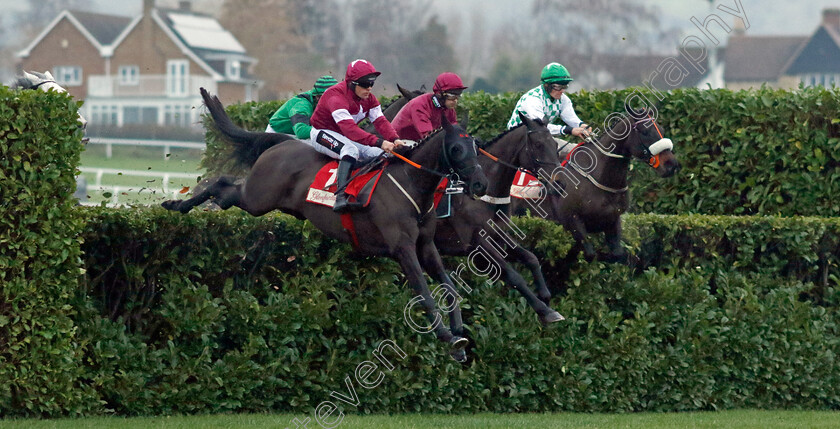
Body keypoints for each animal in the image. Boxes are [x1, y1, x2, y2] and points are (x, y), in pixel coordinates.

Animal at [163, 88, 488, 362]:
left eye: (476, 146)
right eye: (456, 148)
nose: (480, 184)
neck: (412, 183)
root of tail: (285, 142)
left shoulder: (426, 245)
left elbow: (450, 288)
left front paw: (459, 338)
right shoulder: (403, 248)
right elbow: (423, 292)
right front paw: (447, 336)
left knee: (225, 187)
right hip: (257, 198)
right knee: (222, 186)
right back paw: (176, 205)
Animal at [436, 113, 568, 320]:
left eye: (555, 144)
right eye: (538, 144)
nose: (560, 183)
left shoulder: (499, 233)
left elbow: (531, 258)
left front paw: (545, 296)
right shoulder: (478, 243)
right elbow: (513, 275)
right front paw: (544, 310)